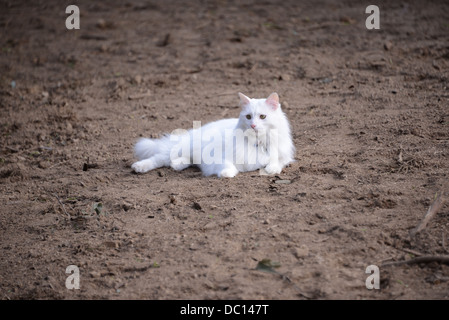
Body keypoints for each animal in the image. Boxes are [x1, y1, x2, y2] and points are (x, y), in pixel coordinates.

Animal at [131, 92, 296, 178]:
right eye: (248, 117)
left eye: (262, 117)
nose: (253, 125)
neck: (258, 143)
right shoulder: (221, 158)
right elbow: (227, 166)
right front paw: (226, 173)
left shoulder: (285, 156)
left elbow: (277, 162)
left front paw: (271, 169)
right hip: (180, 148)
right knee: (158, 158)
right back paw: (139, 167)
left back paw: (178, 165)